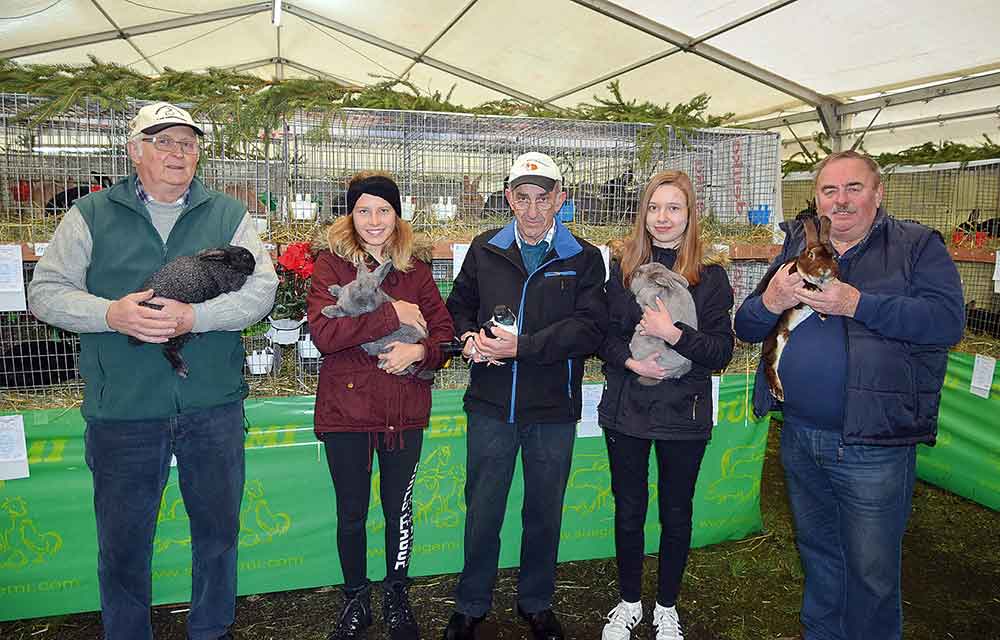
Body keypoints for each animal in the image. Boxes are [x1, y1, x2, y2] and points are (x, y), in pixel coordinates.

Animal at [760, 215, 840, 400]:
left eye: (833, 257)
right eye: (811, 254)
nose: (825, 271)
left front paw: (823, 314)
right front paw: (813, 289)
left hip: (783, 337)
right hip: (774, 341)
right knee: (769, 363)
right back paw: (777, 392)